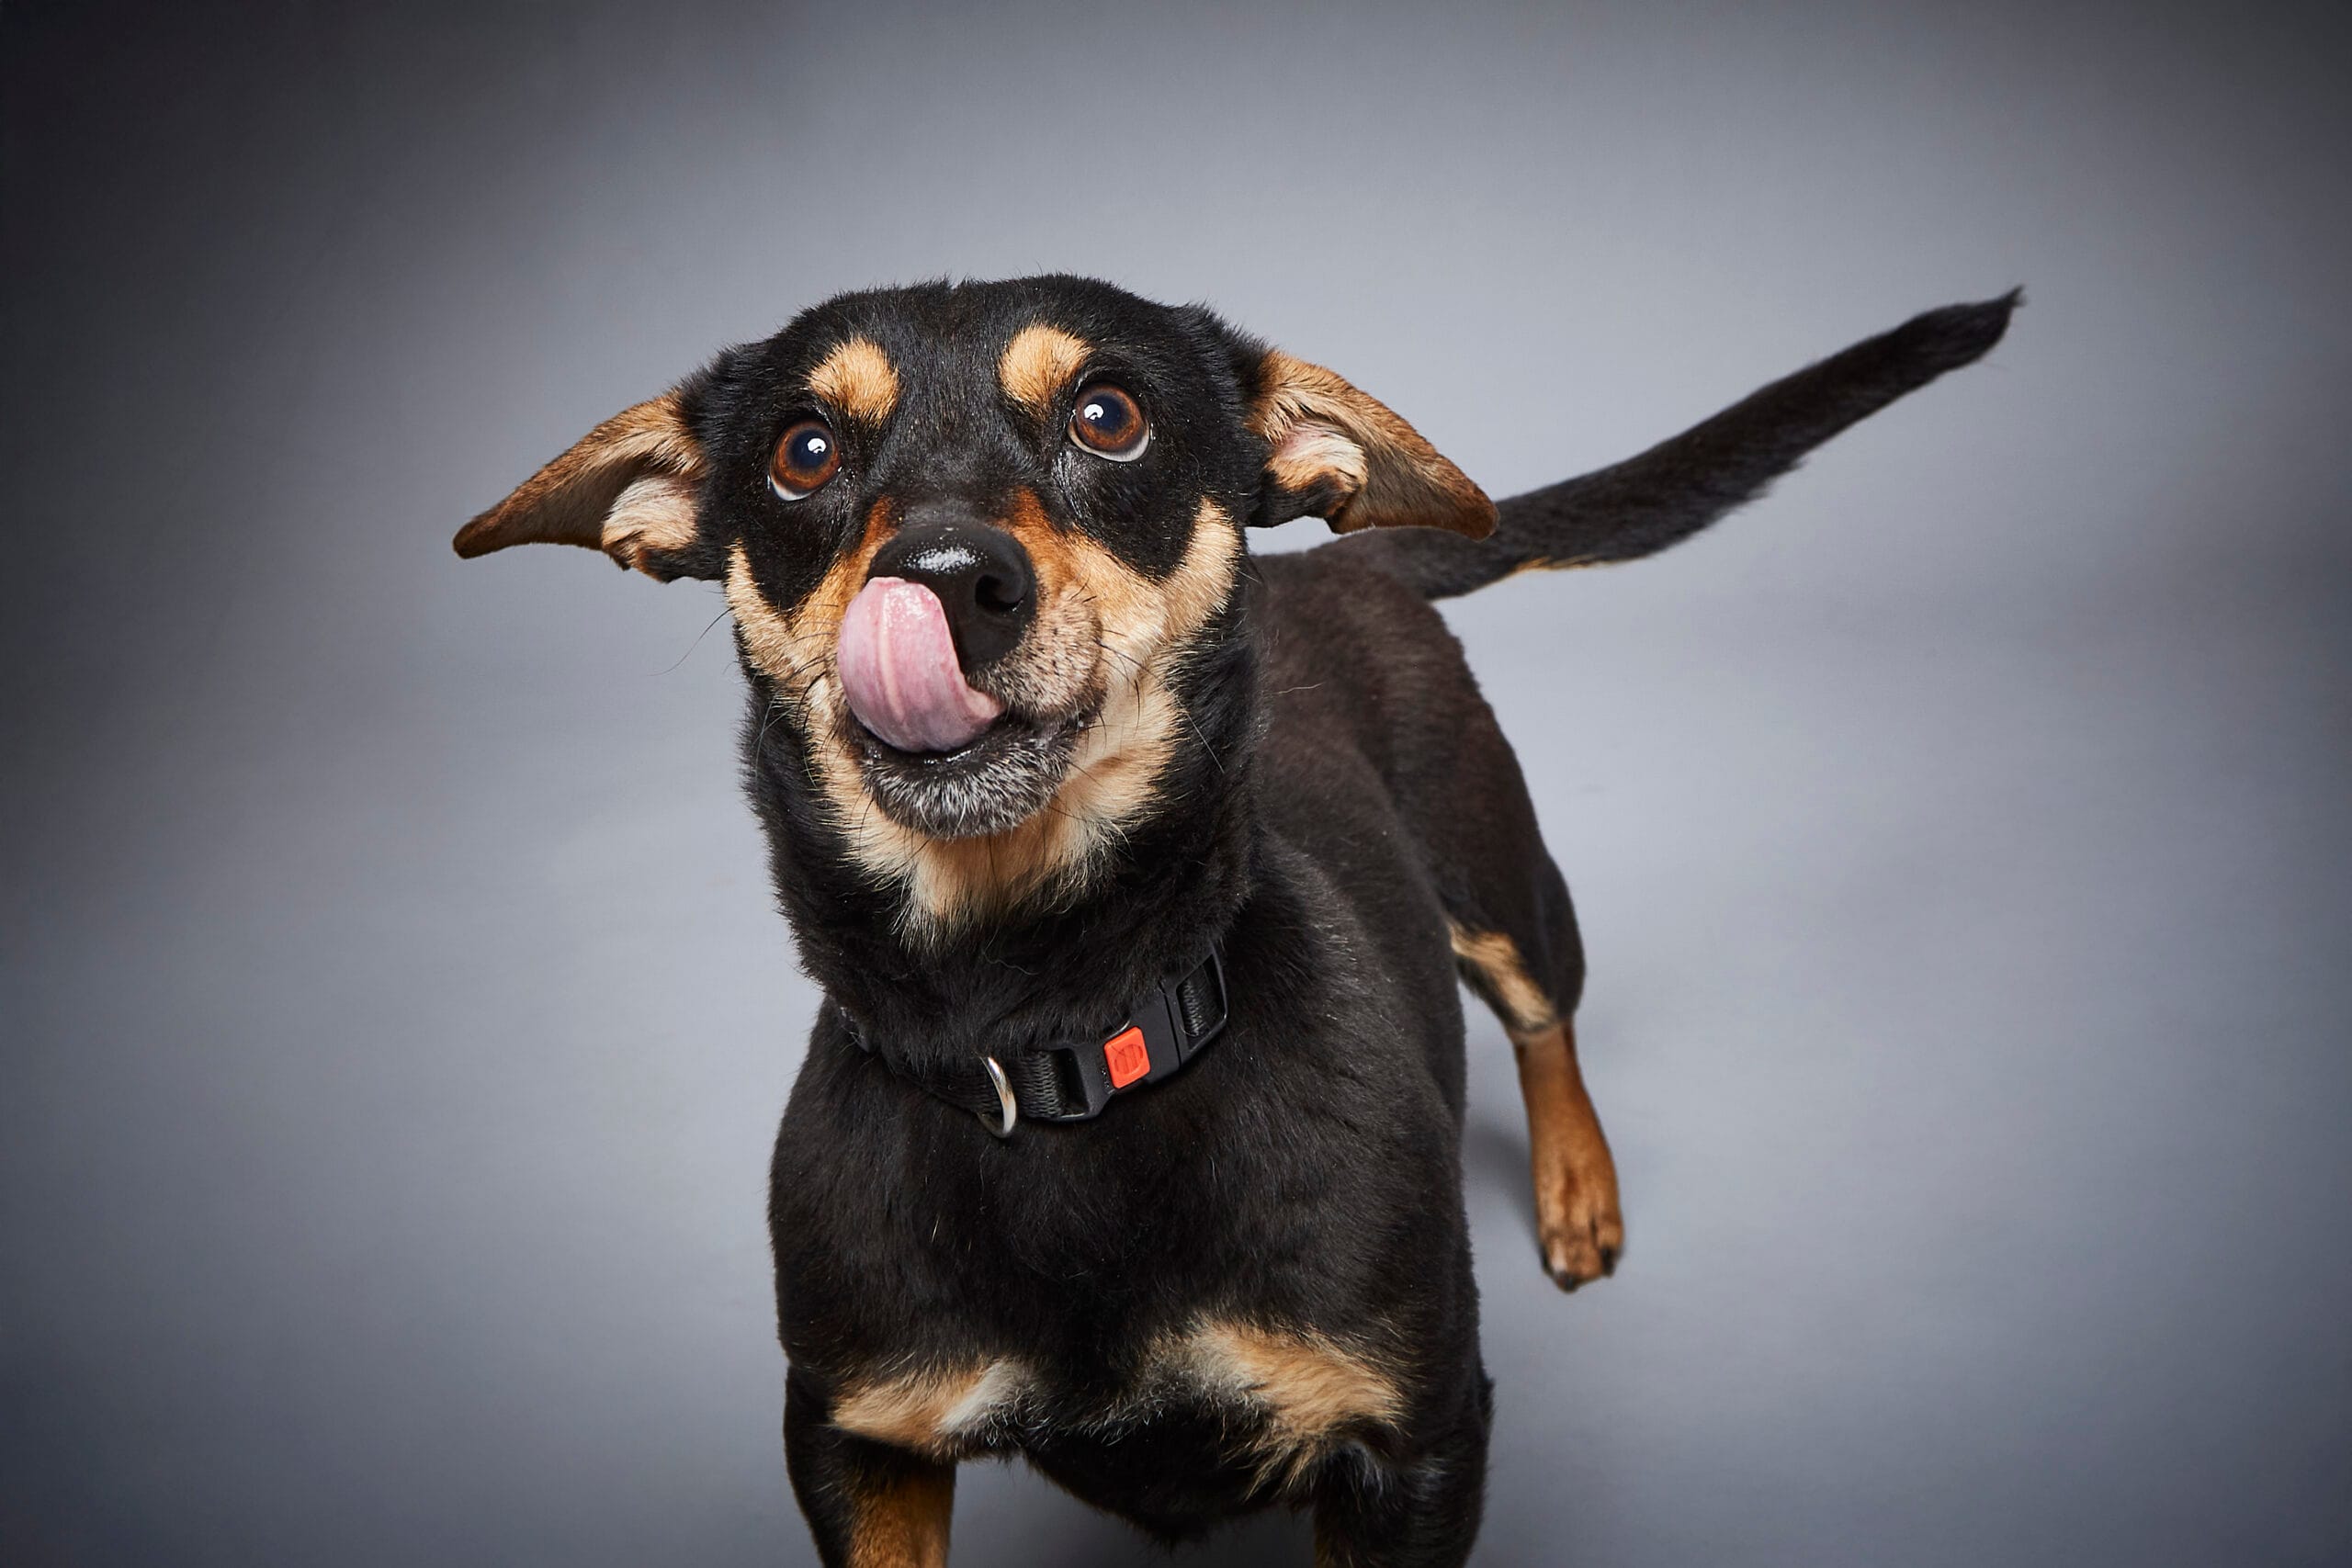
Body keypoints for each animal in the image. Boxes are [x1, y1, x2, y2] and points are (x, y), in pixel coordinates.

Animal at [455, 276, 2013, 1566]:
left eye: (1110, 414)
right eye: (805, 451)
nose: (949, 580)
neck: (1052, 1029)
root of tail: (1344, 557)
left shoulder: (1416, 1446)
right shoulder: (855, 1444)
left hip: (1502, 879)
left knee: (1548, 1013)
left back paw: (1576, 1186)